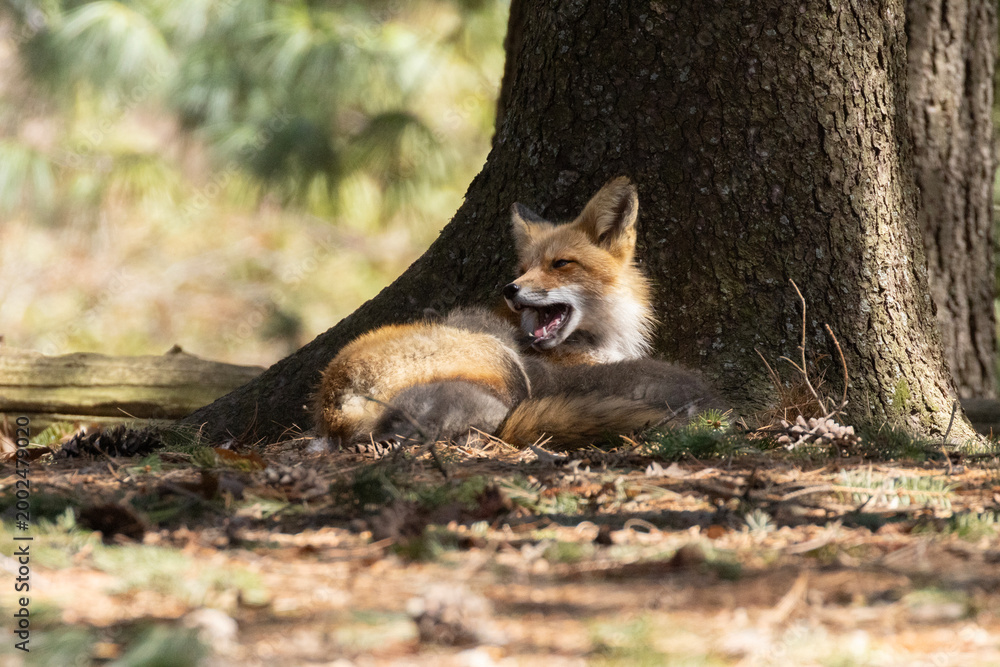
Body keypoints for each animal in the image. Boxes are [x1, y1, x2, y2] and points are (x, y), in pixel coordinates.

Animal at [313, 177, 724, 449]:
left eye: (560, 264)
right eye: (524, 268)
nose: (510, 290)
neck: (603, 339)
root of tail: (335, 398)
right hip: (503, 365)